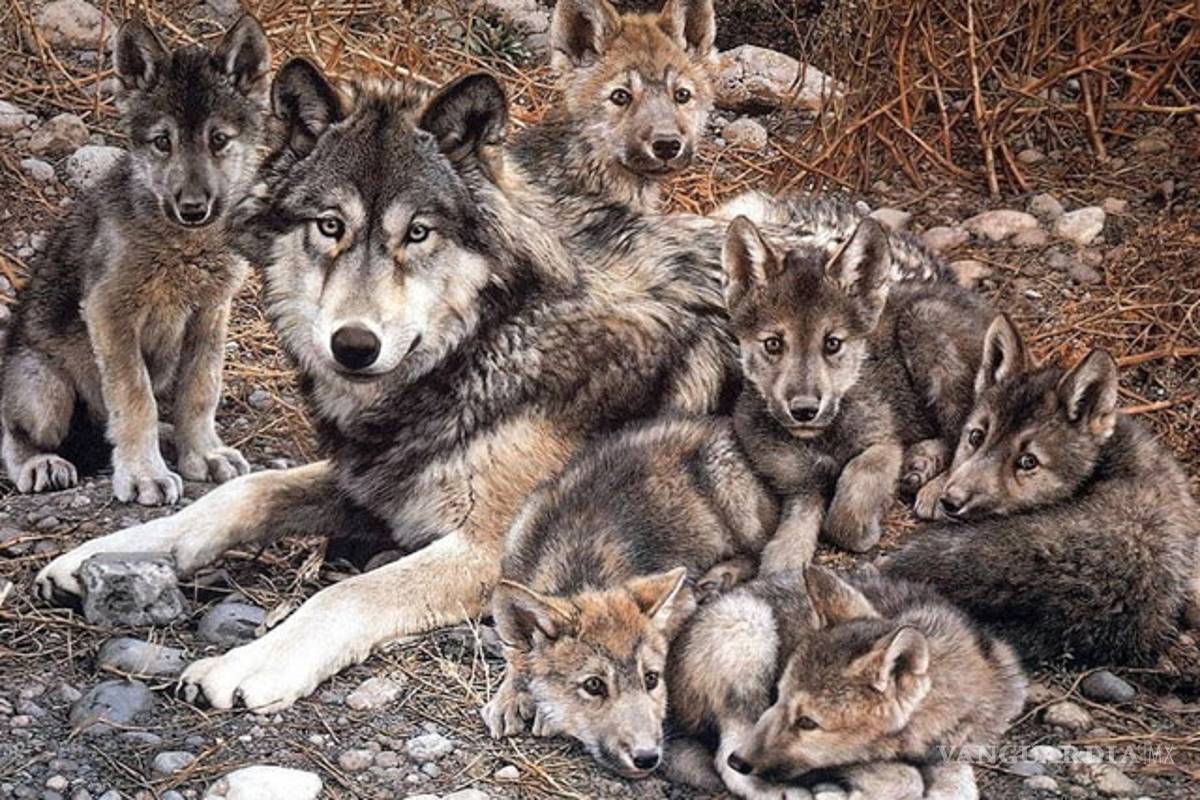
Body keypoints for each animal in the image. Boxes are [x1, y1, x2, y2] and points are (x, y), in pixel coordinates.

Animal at [1, 16, 269, 504]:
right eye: (162, 142)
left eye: (218, 140)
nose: (193, 208)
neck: (183, 246)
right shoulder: (110, 313)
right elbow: (133, 399)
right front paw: (145, 474)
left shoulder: (210, 313)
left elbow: (201, 391)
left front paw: (203, 453)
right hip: (43, 390)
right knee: (15, 434)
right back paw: (41, 463)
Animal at [35, 62, 736, 711]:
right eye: (330, 226)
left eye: (417, 233)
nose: (353, 345)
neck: (492, 339)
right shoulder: (374, 479)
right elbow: (238, 495)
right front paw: (103, 554)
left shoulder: (495, 550)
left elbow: (347, 591)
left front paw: (252, 662)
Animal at [482, 415, 774, 777]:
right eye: (594, 685)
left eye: (651, 679)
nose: (647, 757)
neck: (577, 563)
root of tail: (721, 423)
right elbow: (516, 654)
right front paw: (508, 697)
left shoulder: (681, 601)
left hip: (732, 493)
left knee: (759, 551)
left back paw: (721, 577)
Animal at [667, 566, 1025, 800]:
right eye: (777, 697)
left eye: (807, 722)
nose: (740, 761)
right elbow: (904, 778)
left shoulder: (956, 749)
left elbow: (956, 785)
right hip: (748, 626)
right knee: (723, 761)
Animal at [723, 215, 995, 570]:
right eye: (773, 343)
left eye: (832, 343)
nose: (805, 410)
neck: (821, 438)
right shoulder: (800, 485)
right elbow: (788, 544)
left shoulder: (882, 445)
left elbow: (847, 509)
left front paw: (864, 528)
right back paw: (919, 463)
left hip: (925, 323)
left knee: (965, 429)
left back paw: (933, 487)